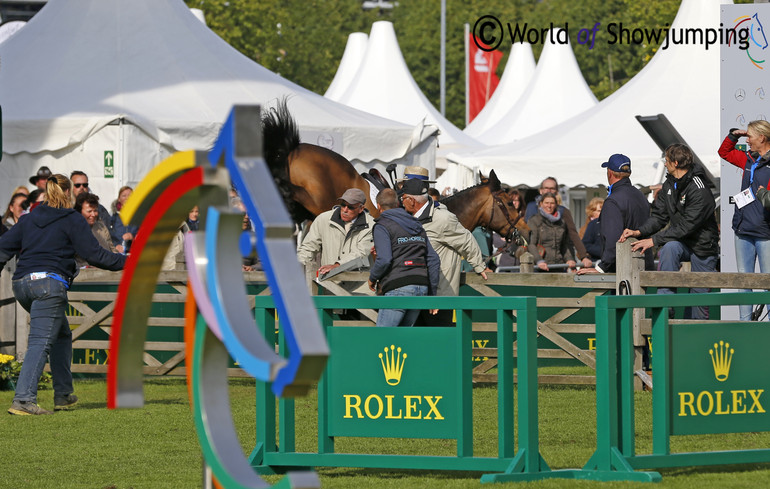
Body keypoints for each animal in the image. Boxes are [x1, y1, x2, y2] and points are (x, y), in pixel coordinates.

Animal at [260, 99, 528, 244]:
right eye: (509, 202)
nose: (526, 231)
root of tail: (293, 148)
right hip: (318, 199)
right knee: (291, 191)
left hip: (306, 210)